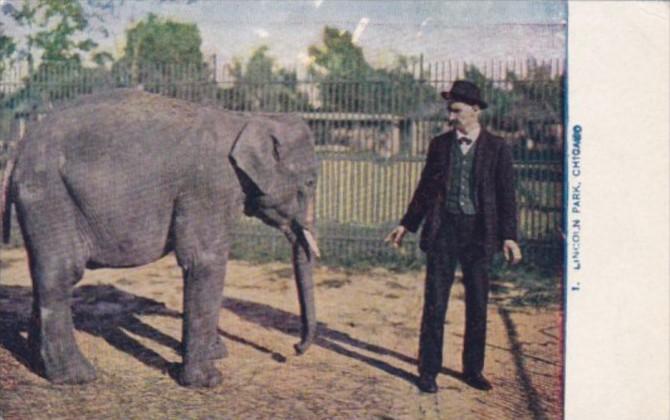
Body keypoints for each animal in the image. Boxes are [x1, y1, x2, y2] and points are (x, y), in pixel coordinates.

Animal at [0, 90, 322, 388]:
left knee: (43, 270)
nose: (293, 349)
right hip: (49, 195)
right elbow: (204, 261)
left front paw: (218, 353)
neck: (247, 119)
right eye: (310, 183)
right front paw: (208, 380)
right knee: (62, 272)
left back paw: (38, 363)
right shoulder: (209, 187)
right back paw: (78, 376)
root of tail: (19, 148)